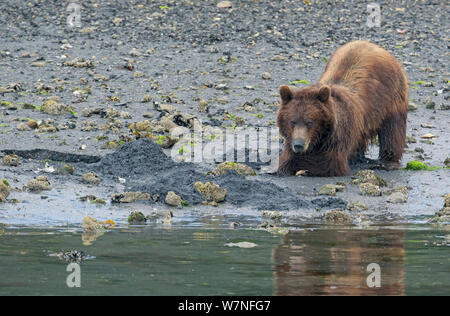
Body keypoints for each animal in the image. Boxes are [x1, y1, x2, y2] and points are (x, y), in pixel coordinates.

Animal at [276, 40, 410, 177]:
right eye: (292, 122)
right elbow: (287, 158)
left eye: (310, 122)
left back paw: (386, 161)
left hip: (391, 97)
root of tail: (375, 46)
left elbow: (329, 162)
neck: (321, 137)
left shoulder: (338, 136)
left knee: (392, 130)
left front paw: (304, 167)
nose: (298, 145)